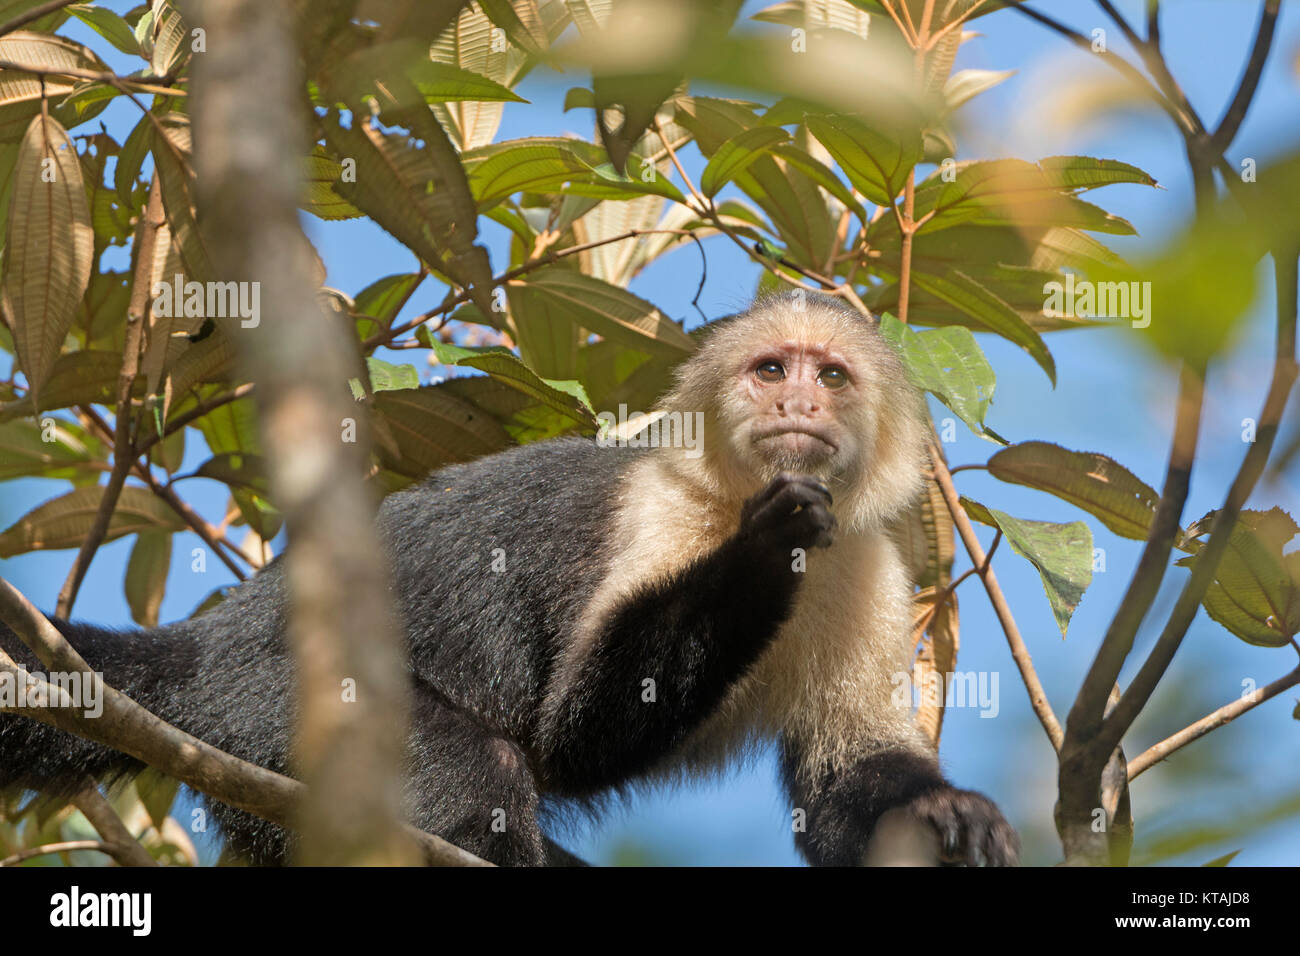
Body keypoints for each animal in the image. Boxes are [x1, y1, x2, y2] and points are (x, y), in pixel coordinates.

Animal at [0, 291, 1018, 867]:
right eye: (771, 369)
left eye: (831, 376)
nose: (799, 402)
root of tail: (206, 641)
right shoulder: (660, 512)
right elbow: (577, 734)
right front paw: (764, 552)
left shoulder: (869, 563)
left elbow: (847, 786)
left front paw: (942, 810)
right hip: (264, 699)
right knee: (476, 771)